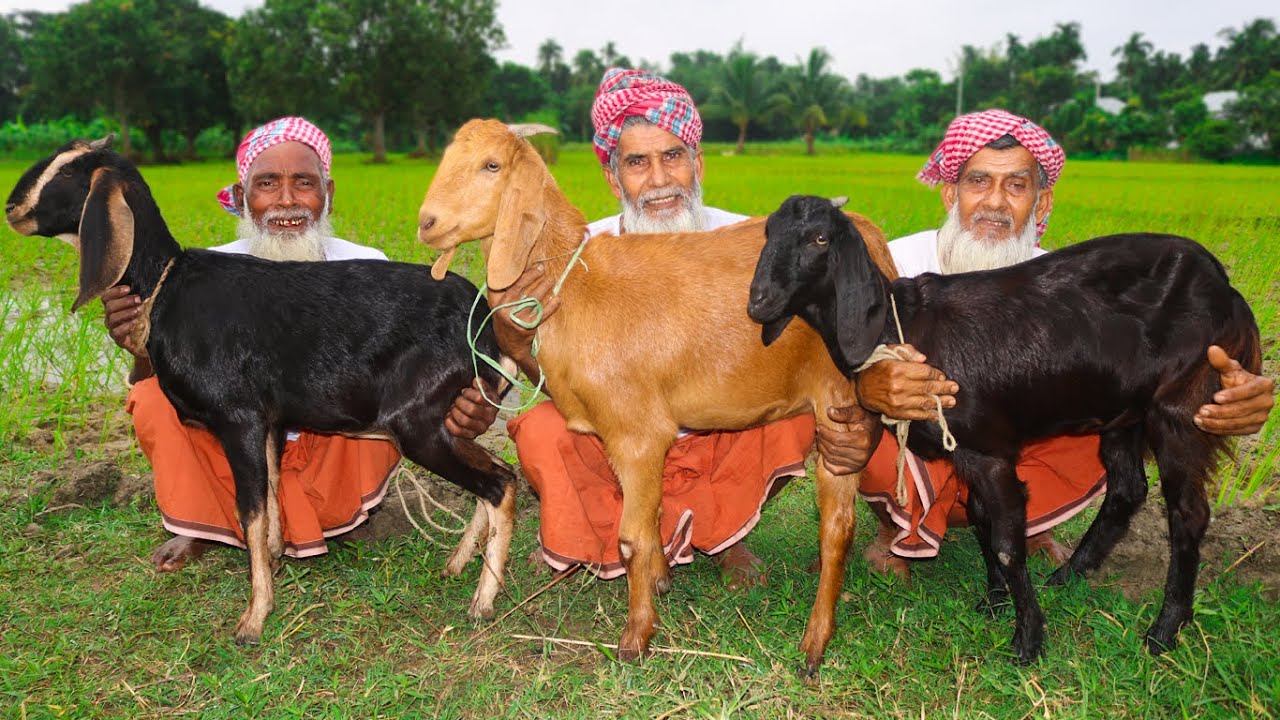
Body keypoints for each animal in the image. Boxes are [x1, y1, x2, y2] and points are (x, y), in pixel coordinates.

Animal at [5, 138, 519, 645]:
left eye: (68, 172)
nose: (12, 208)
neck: (167, 284)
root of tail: (483, 322)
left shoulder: (240, 419)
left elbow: (249, 511)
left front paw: (253, 618)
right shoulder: (269, 422)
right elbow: (269, 499)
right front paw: (273, 562)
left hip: (414, 422)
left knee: (498, 484)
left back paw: (483, 601)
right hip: (441, 417)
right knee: (503, 471)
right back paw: (457, 564)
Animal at [416, 119, 899, 674]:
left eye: (491, 165)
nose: (426, 223)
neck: (574, 284)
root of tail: (874, 240)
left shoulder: (636, 433)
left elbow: (631, 540)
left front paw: (636, 637)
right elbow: (649, 525)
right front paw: (660, 581)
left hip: (838, 401)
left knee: (837, 527)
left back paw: (815, 643)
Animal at [749, 194, 1263, 663]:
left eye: (819, 239)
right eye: (768, 233)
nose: (759, 302)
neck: (900, 325)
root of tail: (1226, 288)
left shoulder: (989, 450)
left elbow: (1006, 543)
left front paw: (1028, 641)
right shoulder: (970, 452)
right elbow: (981, 520)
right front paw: (994, 603)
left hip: (1180, 406)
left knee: (1187, 513)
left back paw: (1165, 629)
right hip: (1123, 413)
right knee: (1127, 489)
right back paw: (1069, 576)